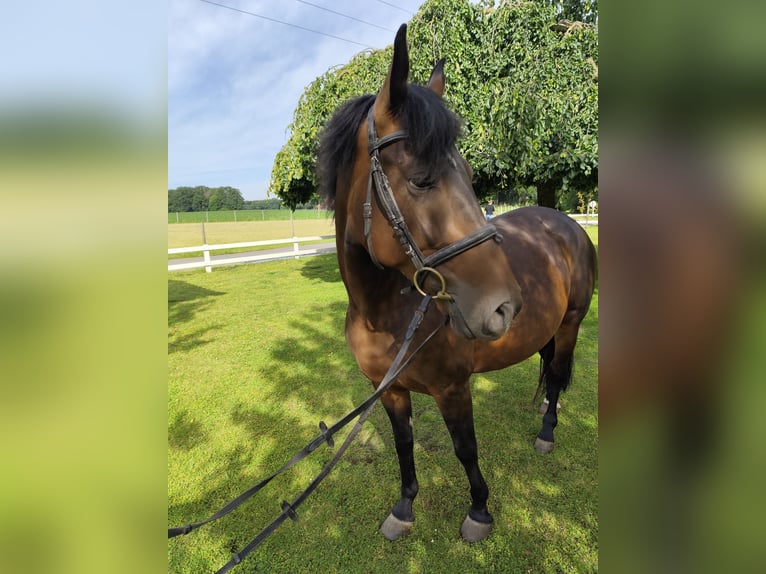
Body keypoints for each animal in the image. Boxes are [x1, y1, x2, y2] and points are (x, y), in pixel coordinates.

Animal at [318, 23, 600, 544]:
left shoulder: (453, 389)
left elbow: (465, 448)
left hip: (572, 322)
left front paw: (480, 511)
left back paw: (547, 431)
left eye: (470, 176)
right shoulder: (389, 390)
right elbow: (403, 444)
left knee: (556, 372)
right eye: (421, 180)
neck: (385, 315)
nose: (503, 308)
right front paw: (404, 507)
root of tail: (563, 222)